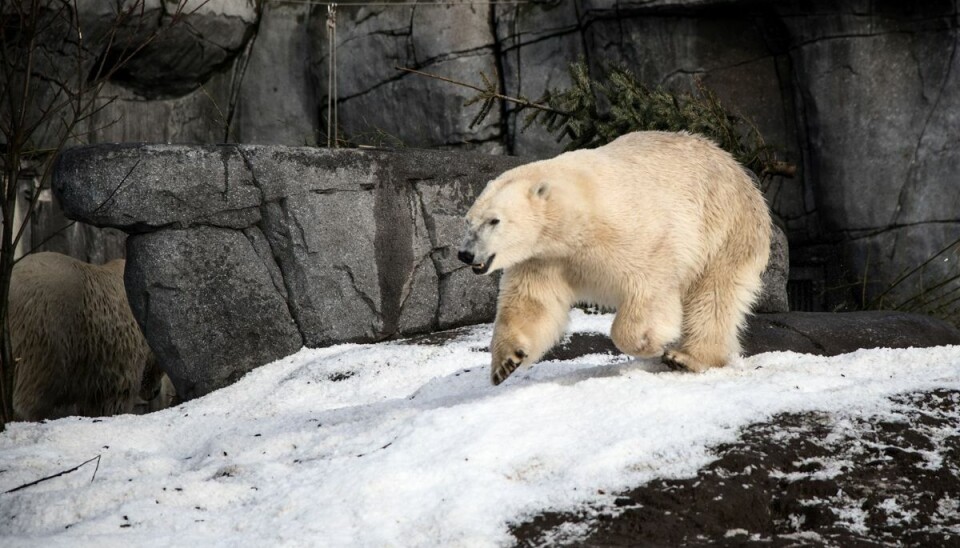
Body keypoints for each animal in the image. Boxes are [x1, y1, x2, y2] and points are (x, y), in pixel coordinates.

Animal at [460, 130, 772, 384]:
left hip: (725, 228)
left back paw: (687, 357)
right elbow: (532, 302)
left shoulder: (635, 234)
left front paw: (648, 342)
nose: (465, 253)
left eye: (494, 221)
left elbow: (648, 289)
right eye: (468, 220)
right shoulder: (543, 258)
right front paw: (506, 362)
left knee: (714, 296)